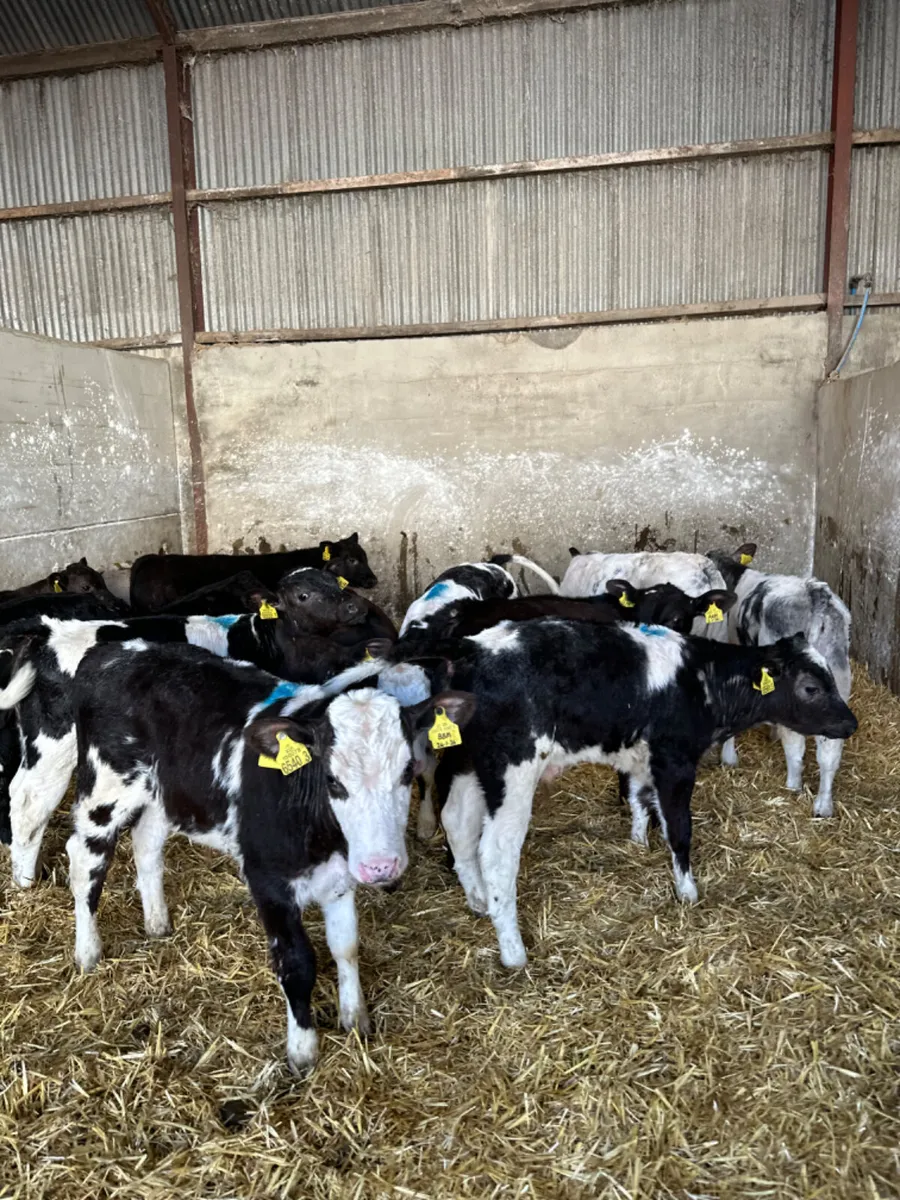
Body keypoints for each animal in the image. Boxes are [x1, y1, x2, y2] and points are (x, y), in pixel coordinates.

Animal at [64, 640, 474, 1072]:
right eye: (332, 780)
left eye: (408, 771)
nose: (381, 866)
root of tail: (112, 649)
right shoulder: (268, 881)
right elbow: (296, 962)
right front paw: (303, 1050)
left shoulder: (339, 879)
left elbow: (346, 947)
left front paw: (354, 1018)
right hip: (103, 792)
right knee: (84, 861)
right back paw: (88, 950)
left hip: (167, 794)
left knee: (146, 842)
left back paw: (157, 922)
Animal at [403, 619, 856, 968]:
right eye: (811, 687)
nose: (850, 723)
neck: (703, 681)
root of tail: (473, 646)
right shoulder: (674, 759)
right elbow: (679, 828)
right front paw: (687, 892)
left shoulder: (641, 760)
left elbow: (640, 801)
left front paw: (638, 843)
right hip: (513, 768)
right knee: (497, 852)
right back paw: (513, 951)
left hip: (467, 760)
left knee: (457, 823)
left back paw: (478, 900)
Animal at [706, 547, 852, 817]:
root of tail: (814, 594)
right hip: (838, 679)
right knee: (829, 752)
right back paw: (823, 805)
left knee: (795, 743)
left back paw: (792, 786)